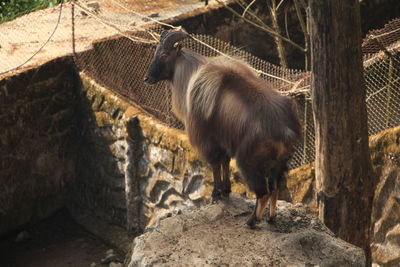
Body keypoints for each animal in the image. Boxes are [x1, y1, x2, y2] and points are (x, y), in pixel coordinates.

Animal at [144, 30, 300, 229]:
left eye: (164, 54)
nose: (147, 78)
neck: (190, 77)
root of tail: (285, 129)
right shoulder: (223, 140)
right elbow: (225, 162)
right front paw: (226, 190)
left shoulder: (207, 140)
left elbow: (215, 164)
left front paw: (216, 193)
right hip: (278, 165)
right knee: (274, 190)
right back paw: (271, 218)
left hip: (250, 162)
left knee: (263, 193)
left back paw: (251, 221)